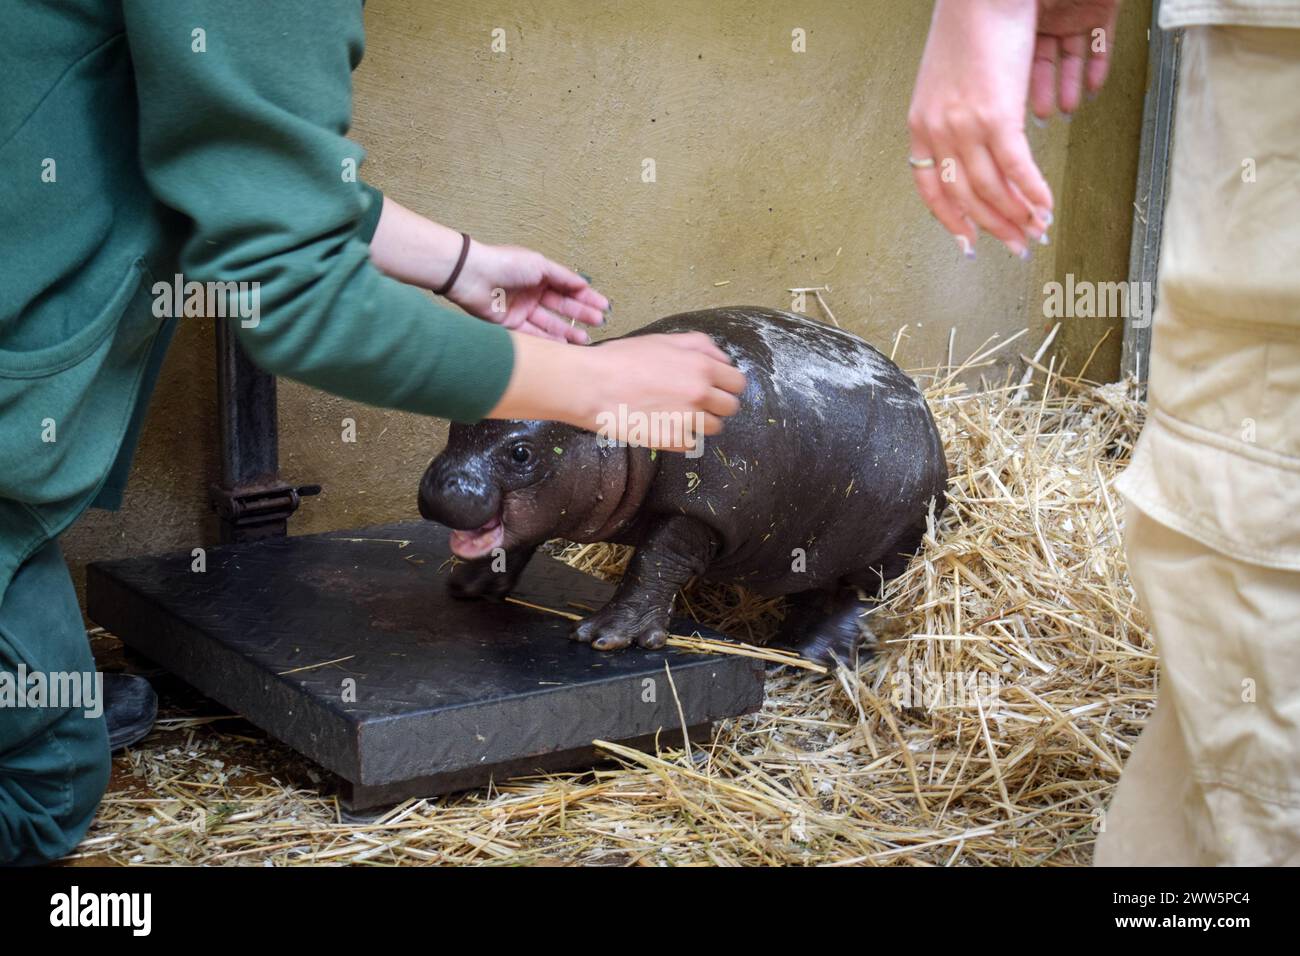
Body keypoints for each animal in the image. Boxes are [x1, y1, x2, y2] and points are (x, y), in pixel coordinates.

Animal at [416, 308, 946, 665]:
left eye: (521, 453)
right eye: (456, 420)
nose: (440, 488)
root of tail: (933, 432)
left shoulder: (702, 507)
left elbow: (655, 562)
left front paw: (605, 637)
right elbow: (517, 539)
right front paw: (468, 585)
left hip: (884, 546)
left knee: (855, 599)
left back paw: (814, 654)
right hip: (808, 546)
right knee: (812, 590)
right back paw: (785, 643)